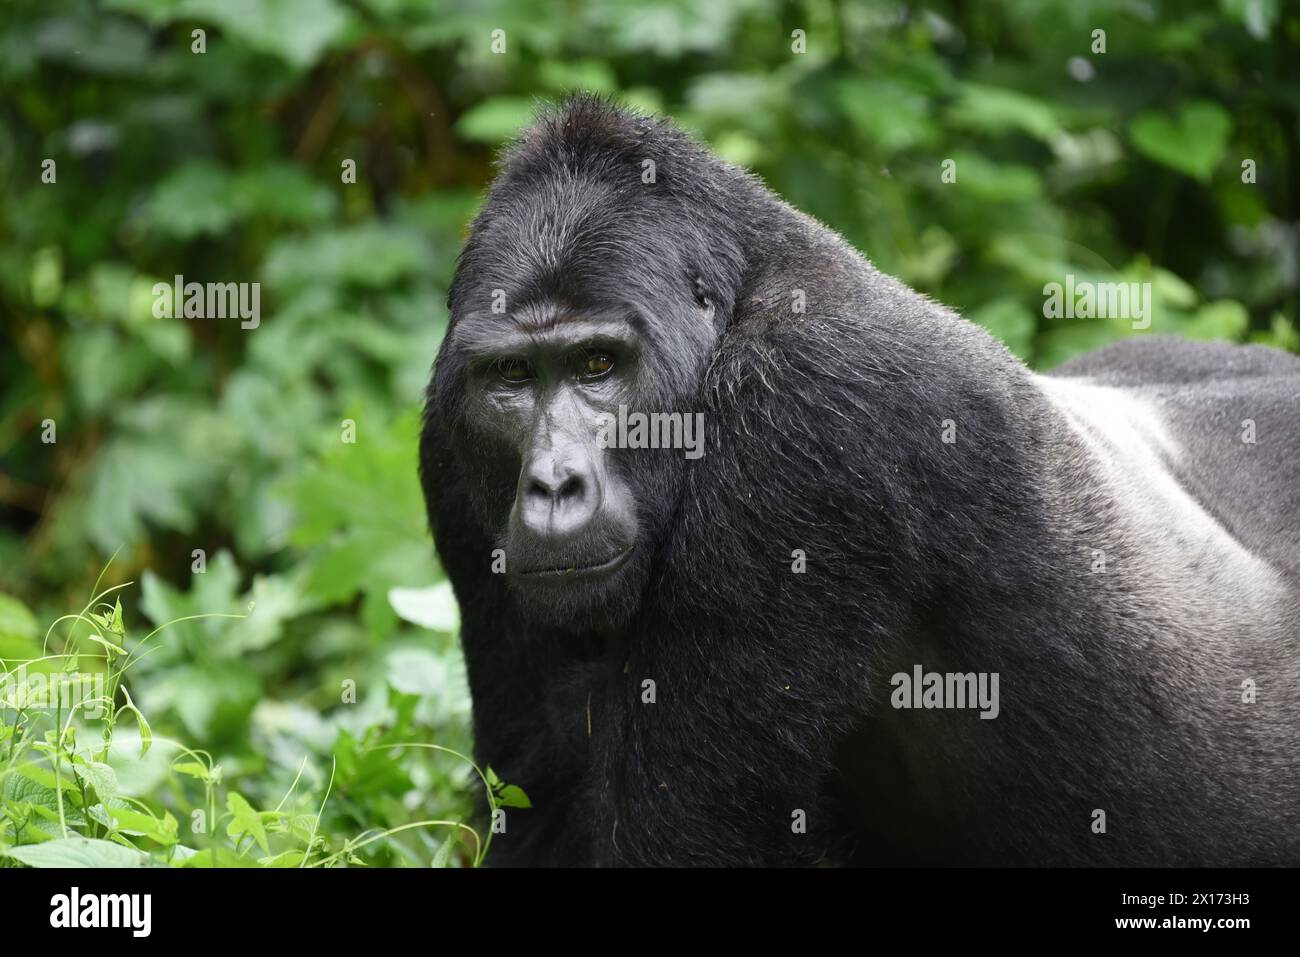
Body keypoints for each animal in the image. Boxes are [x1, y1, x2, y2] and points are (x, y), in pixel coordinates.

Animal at [418, 97, 1300, 868]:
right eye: (512, 377)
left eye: (598, 364)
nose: (552, 483)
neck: (740, 300)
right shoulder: (446, 437)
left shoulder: (804, 418)